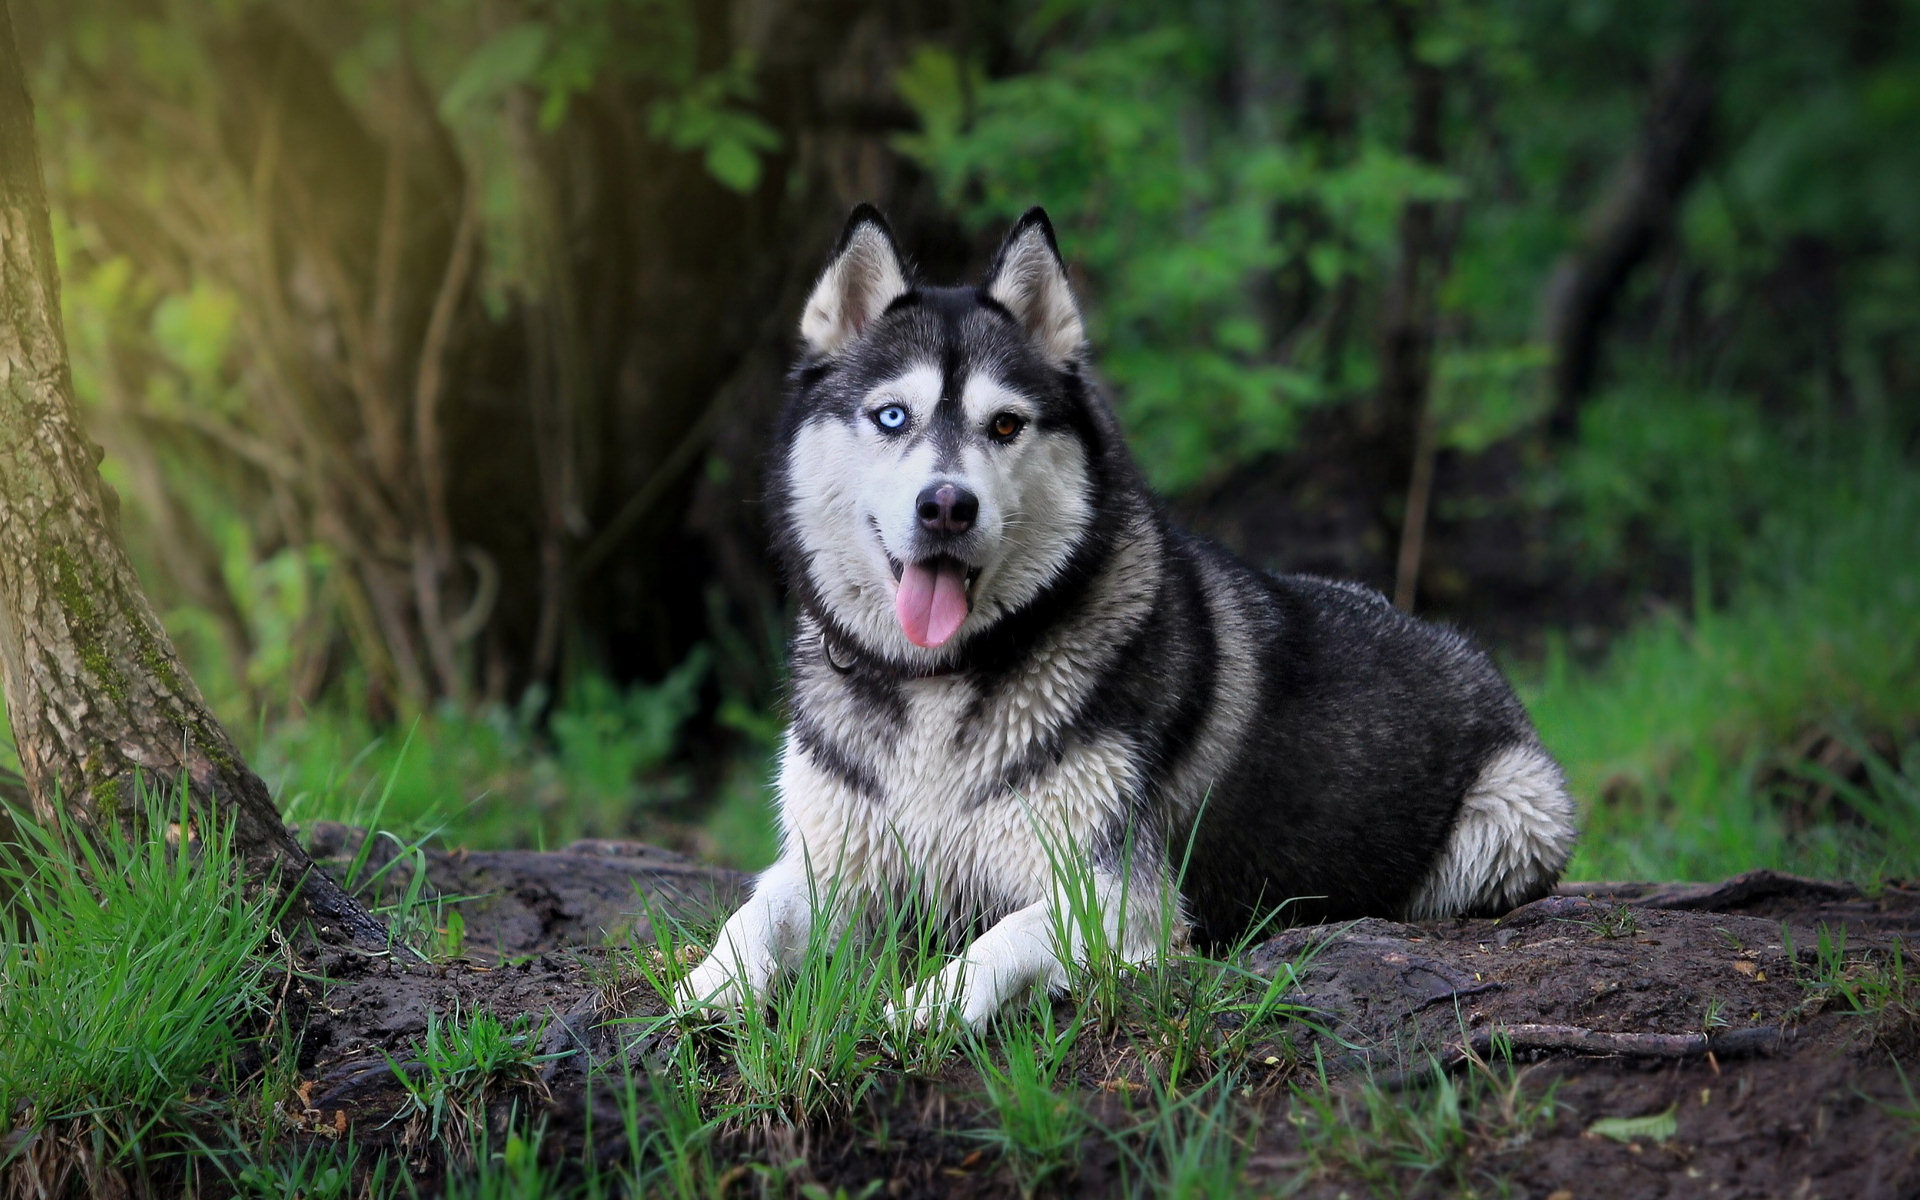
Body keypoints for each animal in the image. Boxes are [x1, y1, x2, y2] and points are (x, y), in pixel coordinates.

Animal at [675, 208, 1574, 1029]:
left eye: (1006, 424)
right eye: (893, 416)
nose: (947, 506)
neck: (941, 678)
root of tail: (1460, 644)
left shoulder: (1118, 893)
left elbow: (1002, 938)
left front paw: (929, 1003)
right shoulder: (829, 863)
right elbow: (755, 911)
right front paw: (707, 984)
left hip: (1513, 819)